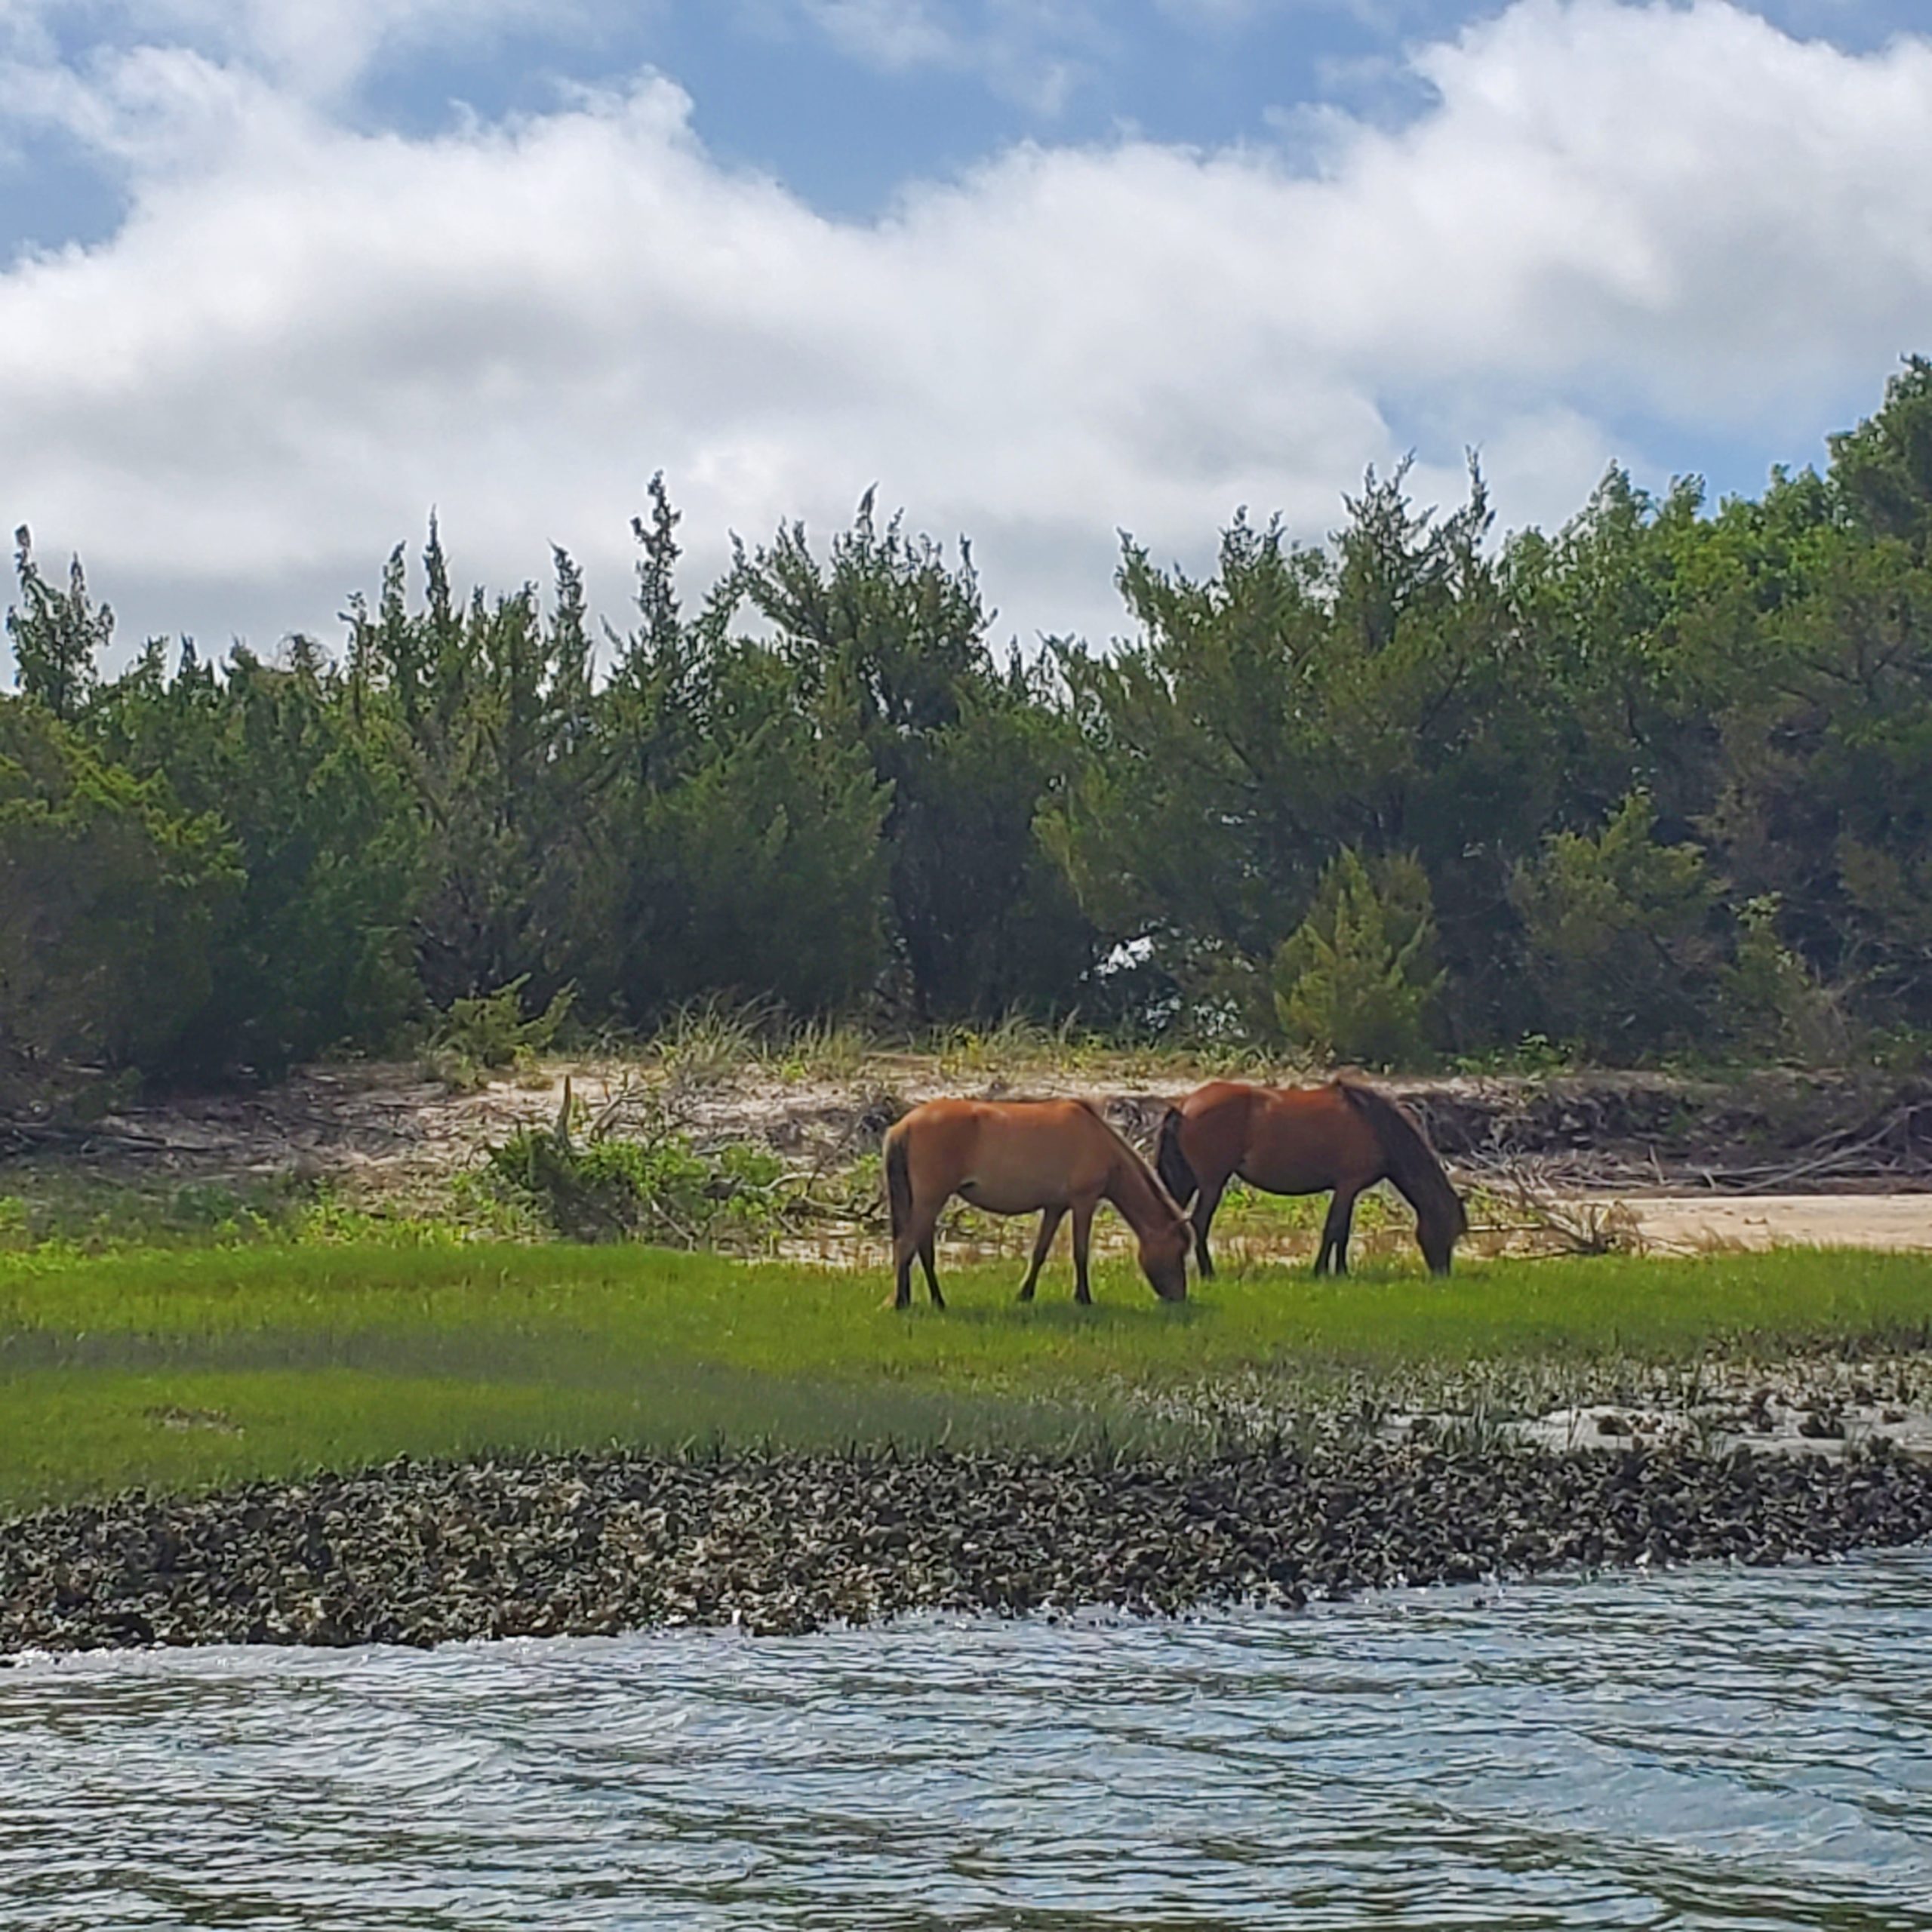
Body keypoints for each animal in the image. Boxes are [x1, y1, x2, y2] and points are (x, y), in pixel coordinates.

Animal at [883, 1097, 1194, 1309]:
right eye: (1178, 1250)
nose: (1179, 1297)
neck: (1099, 1140)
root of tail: (904, 1125)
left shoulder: (1055, 1207)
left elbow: (1040, 1252)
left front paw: (1025, 1294)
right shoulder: (1084, 1202)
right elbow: (1081, 1252)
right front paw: (1084, 1298)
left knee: (921, 1249)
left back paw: (935, 1300)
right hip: (931, 1198)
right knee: (907, 1245)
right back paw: (901, 1302)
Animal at [1154, 1077, 1468, 1279]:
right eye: (1449, 1229)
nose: (1443, 1275)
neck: (1376, 1126)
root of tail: (1185, 1104)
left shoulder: (1349, 1190)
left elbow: (1342, 1232)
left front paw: (1340, 1272)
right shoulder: (1347, 1185)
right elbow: (1334, 1229)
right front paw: (1321, 1272)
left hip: (1188, 1181)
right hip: (1212, 1183)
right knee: (1199, 1223)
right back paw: (1208, 1273)